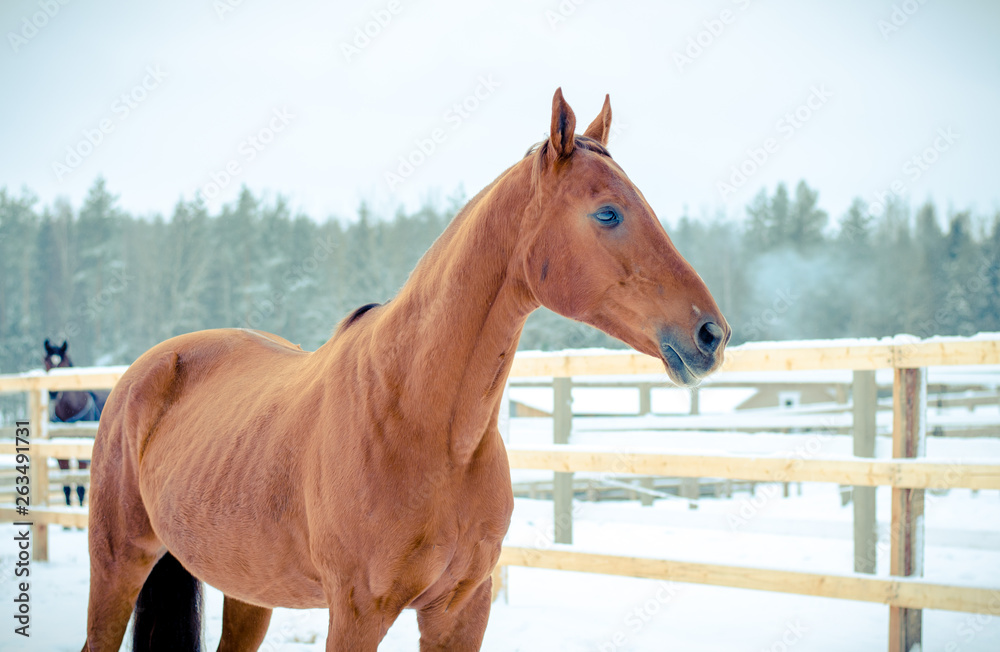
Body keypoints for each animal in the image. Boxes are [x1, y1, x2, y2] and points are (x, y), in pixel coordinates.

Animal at [42, 339, 108, 508]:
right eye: (46, 361)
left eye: (63, 363)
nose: (53, 392)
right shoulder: (61, 454)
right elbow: (66, 487)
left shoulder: (82, 456)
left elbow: (80, 489)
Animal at [83, 88, 730, 652]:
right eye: (608, 213)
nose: (711, 335)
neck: (421, 424)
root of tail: (145, 372)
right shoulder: (357, 613)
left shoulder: (461, 610)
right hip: (117, 566)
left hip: (248, 589)